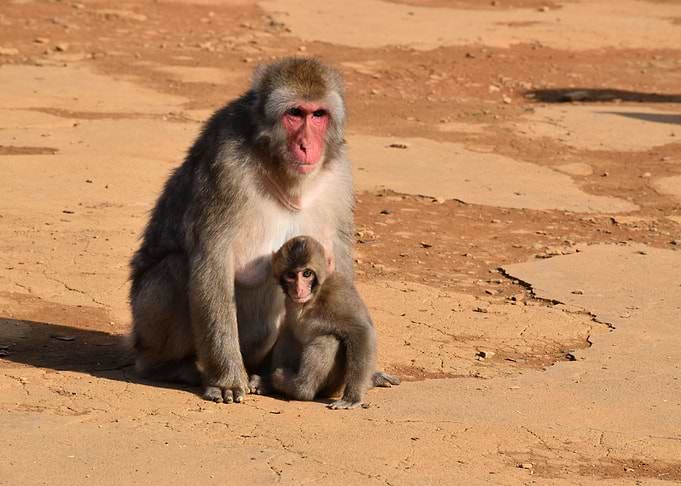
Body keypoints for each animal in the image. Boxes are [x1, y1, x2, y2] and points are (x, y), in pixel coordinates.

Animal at [129, 57, 357, 404]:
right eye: (295, 113)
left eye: (318, 114)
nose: (307, 145)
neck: (279, 169)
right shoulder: (226, 166)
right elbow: (213, 260)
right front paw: (226, 379)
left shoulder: (339, 177)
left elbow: (335, 263)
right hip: (144, 324)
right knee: (175, 268)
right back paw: (170, 367)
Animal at [268, 236, 400, 410]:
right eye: (291, 275)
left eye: (307, 274)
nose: (298, 289)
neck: (311, 299)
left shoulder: (338, 292)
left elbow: (361, 330)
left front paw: (352, 397)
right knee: (289, 334)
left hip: (334, 386)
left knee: (328, 339)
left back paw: (299, 388)